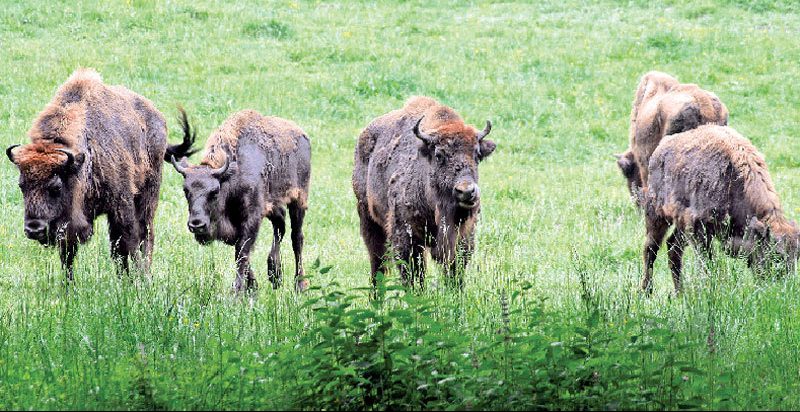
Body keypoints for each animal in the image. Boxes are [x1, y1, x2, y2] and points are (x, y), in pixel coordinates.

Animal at [4, 68, 195, 280]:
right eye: (22, 185)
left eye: (55, 187)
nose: (34, 229)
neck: (81, 161)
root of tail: (157, 116)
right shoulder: (70, 224)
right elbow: (69, 255)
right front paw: (68, 285)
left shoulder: (121, 206)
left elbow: (130, 242)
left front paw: (139, 281)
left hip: (148, 194)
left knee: (145, 235)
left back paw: (144, 274)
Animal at [170, 108, 310, 292]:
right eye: (186, 190)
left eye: (215, 191)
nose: (197, 224)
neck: (229, 178)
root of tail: (302, 135)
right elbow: (241, 252)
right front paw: (253, 287)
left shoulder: (251, 219)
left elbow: (242, 252)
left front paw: (237, 291)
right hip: (274, 206)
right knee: (280, 227)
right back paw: (275, 275)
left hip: (298, 201)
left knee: (297, 238)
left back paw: (300, 284)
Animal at [354, 96, 496, 290]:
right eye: (439, 155)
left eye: (477, 154)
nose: (466, 191)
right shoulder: (407, 237)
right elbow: (413, 273)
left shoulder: (464, 236)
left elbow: (455, 270)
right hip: (369, 220)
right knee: (378, 264)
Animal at [644, 124, 800, 292]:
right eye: (777, 255)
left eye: (797, 256)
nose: (783, 286)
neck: (735, 180)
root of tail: (661, 147)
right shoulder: (699, 228)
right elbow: (707, 263)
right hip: (657, 215)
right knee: (650, 249)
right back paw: (646, 292)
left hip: (680, 226)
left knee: (673, 249)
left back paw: (680, 293)